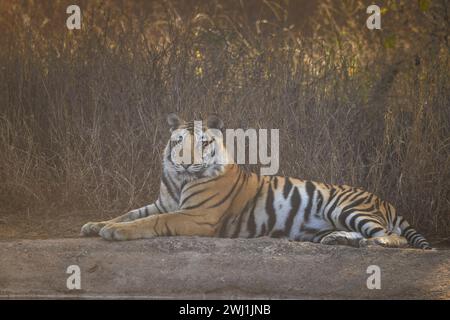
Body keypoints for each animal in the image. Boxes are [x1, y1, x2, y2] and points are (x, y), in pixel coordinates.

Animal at [81, 112, 432, 250]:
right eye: (179, 141)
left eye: (203, 143)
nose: (187, 161)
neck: (180, 179)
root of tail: (385, 200)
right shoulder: (163, 202)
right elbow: (130, 213)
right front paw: (95, 224)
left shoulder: (198, 216)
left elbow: (150, 221)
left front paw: (113, 231)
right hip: (320, 226)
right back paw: (341, 240)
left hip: (345, 206)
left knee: (391, 236)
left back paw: (377, 242)